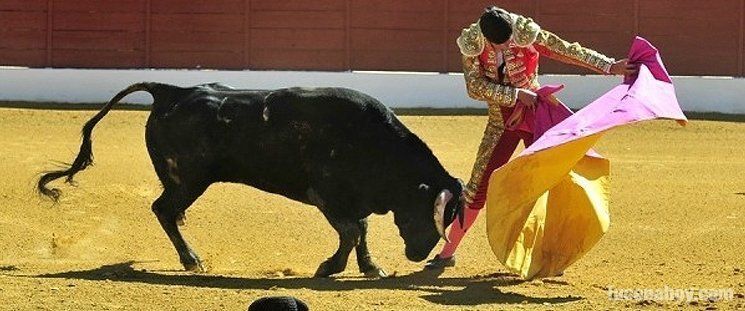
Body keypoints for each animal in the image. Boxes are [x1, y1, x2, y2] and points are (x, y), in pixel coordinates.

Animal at [39, 83, 464, 278]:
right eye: (429, 213)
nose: (419, 256)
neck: (374, 143)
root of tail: (170, 92)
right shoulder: (326, 195)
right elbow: (352, 231)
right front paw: (329, 268)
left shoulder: (348, 201)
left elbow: (360, 230)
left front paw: (370, 267)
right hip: (190, 180)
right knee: (163, 209)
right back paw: (191, 260)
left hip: (185, 181)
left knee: (168, 212)